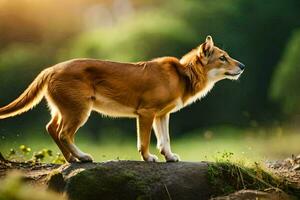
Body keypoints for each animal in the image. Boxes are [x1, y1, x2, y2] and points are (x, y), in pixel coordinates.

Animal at [0, 35, 244, 162]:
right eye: (223, 57)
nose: (242, 66)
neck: (183, 75)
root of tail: (50, 68)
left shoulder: (161, 115)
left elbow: (164, 139)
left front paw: (169, 156)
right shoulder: (146, 113)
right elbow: (144, 142)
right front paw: (148, 158)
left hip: (64, 109)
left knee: (51, 128)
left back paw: (71, 159)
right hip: (80, 110)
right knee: (63, 133)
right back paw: (82, 157)